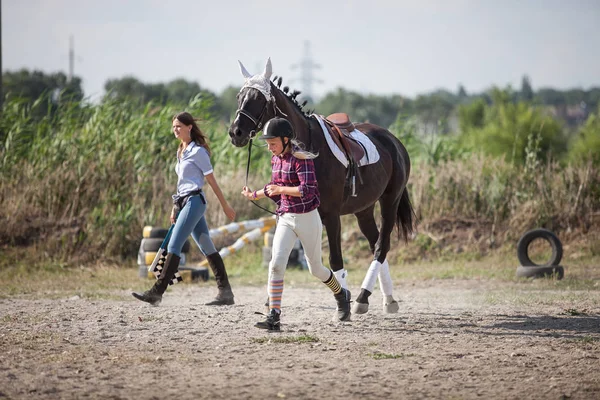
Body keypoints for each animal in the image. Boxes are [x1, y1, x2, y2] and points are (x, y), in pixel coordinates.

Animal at [227, 58, 414, 316]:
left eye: (258, 99)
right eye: (239, 96)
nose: (236, 133)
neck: (308, 147)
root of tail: (394, 141)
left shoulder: (331, 215)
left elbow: (335, 260)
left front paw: (343, 302)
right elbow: (280, 257)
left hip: (390, 201)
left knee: (381, 246)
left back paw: (362, 297)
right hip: (363, 209)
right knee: (375, 242)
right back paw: (387, 300)